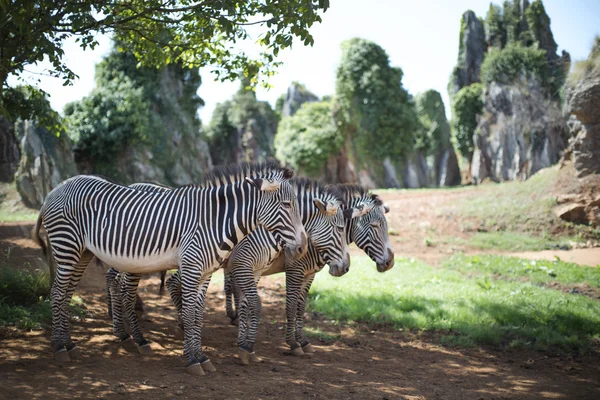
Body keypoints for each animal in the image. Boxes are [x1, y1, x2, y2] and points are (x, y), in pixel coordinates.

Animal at [30, 162, 308, 376]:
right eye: (286, 204)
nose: (303, 247)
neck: (215, 220)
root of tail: (55, 189)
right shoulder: (194, 267)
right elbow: (190, 314)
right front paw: (193, 360)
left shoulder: (205, 273)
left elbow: (198, 315)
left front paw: (202, 357)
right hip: (67, 246)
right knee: (58, 293)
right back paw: (60, 347)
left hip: (83, 253)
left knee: (67, 294)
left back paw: (70, 344)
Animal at [164, 177, 356, 362]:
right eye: (340, 228)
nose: (346, 268)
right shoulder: (281, 268)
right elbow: (288, 305)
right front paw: (292, 344)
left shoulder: (268, 270)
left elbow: (257, 305)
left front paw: (245, 344)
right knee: (172, 282)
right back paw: (183, 325)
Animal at [225, 184, 394, 356]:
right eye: (374, 226)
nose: (390, 263)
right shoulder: (294, 269)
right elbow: (291, 305)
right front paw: (292, 343)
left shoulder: (309, 274)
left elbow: (301, 306)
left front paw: (303, 341)